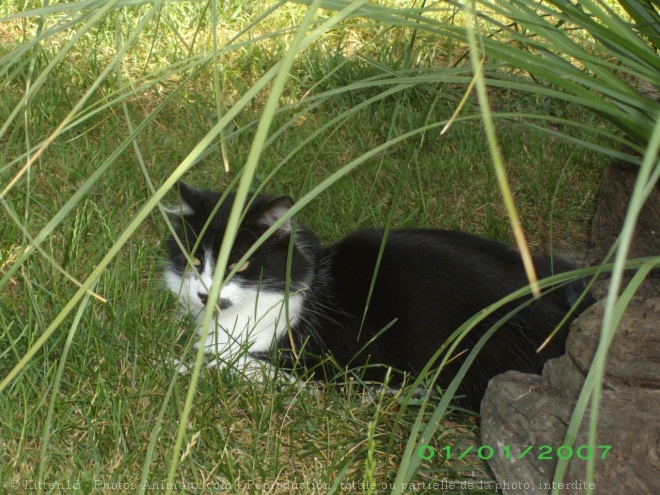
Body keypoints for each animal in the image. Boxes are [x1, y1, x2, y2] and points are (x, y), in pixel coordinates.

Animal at [164, 184, 588, 408]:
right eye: (195, 259)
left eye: (241, 265)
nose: (204, 294)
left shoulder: (322, 363)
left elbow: (233, 363)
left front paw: (179, 366)